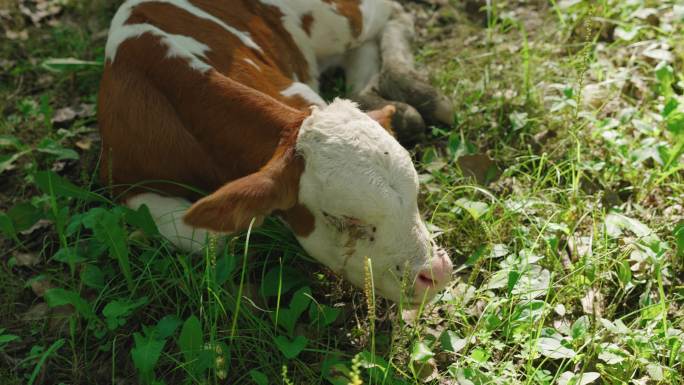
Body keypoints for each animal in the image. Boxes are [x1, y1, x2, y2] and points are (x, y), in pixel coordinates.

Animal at [95, 0, 448, 306]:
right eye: (341, 219)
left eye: (416, 196)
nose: (436, 273)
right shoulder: (121, 180)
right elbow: (209, 240)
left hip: (340, 18)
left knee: (394, 13)